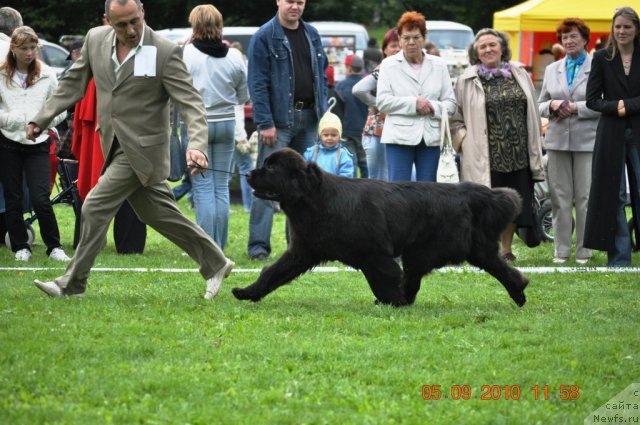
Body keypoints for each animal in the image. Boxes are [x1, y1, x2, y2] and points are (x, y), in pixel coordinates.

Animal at [234, 147, 528, 306]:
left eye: (271, 170)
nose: (248, 174)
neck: (316, 200)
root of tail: (469, 193)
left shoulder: (373, 254)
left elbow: (383, 280)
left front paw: (391, 301)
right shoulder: (302, 251)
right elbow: (272, 273)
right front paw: (247, 292)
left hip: (426, 250)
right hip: (463, 249)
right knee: (500, 267)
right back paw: (520, 291)